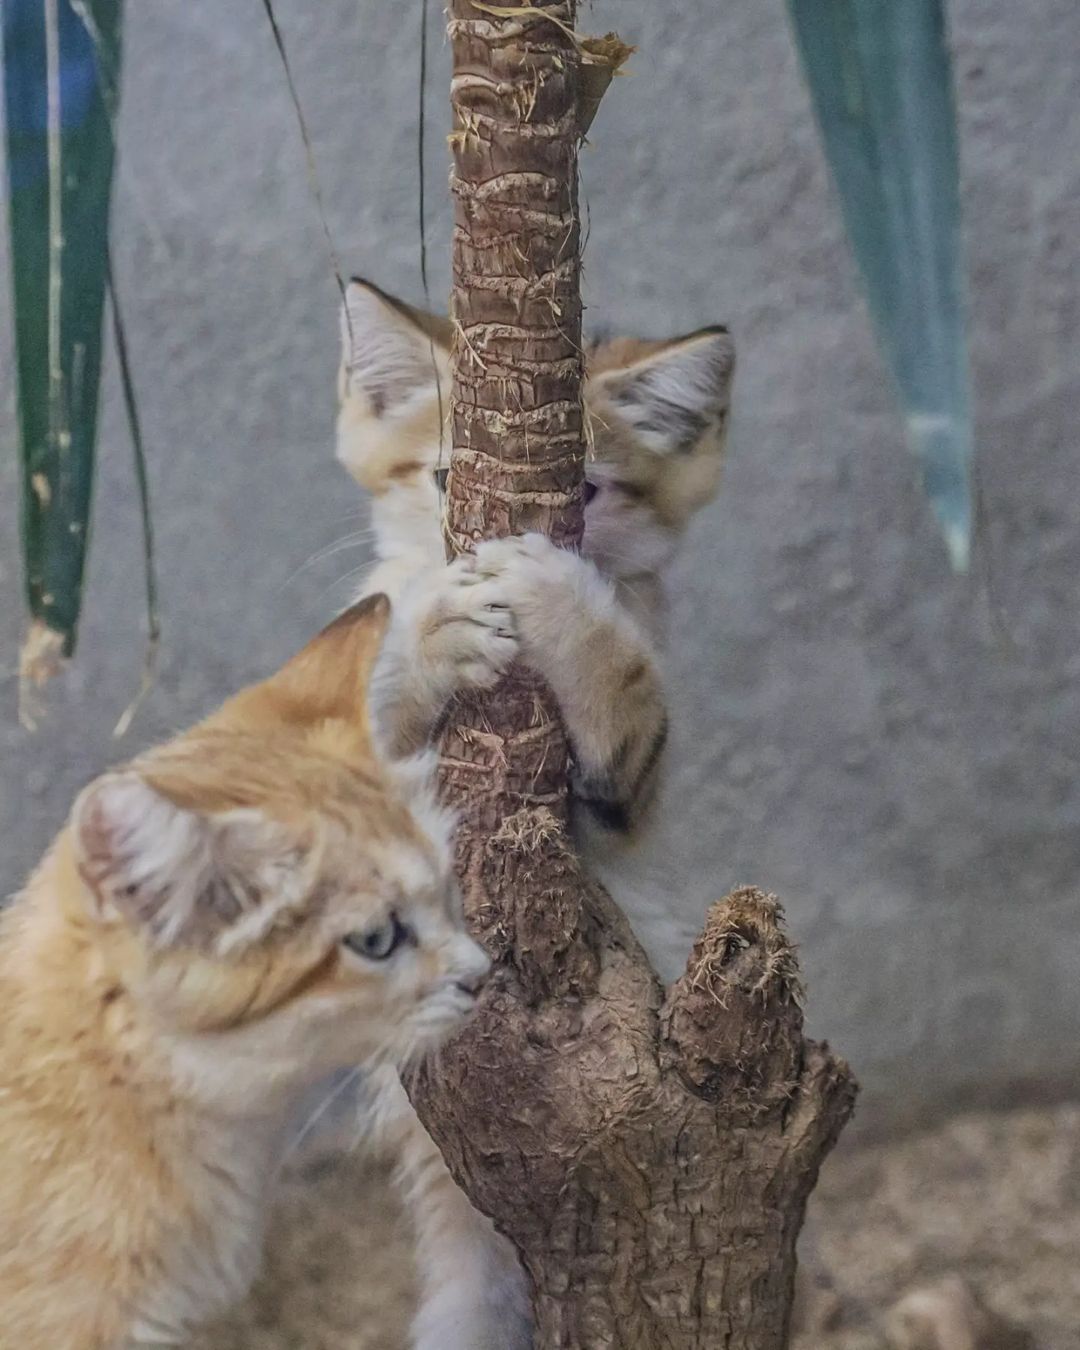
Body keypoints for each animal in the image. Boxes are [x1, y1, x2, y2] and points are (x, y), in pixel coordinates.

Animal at [334, 279, 734, 1344]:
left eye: (589, 491)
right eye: (440, 476)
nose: (471, 543)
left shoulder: (629, 797)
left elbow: (624, 683)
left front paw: (561, 603)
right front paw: (430, 626)